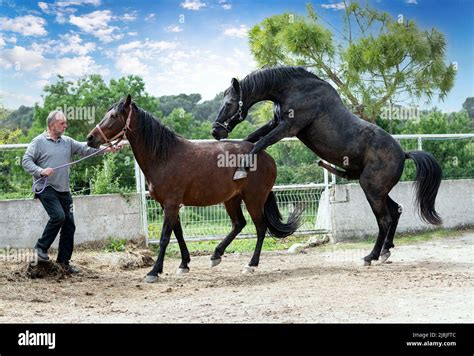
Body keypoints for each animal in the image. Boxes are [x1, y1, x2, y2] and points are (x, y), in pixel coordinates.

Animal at [86, 95, 300, 284]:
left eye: (114, 116)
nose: (90, 138)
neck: (164, 157)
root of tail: (265, 155)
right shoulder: (168, 205)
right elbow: (178, 233)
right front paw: (183, 264)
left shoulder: (171, 204)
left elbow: (165, 237)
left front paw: (154, 271)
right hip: (232, 199)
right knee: (239, 224)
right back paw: (216, 255)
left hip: (254, 199)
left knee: (260, 228)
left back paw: (251, 265)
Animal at [213, 67, 442, 268]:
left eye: (229, 103)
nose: (216, 131)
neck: (295, 90)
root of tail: (403, 154)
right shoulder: (274, 123)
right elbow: (252, 138)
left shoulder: (287, 128)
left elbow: (260, 143)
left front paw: (241, 168)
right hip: (378, 191)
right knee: (395, 212)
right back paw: (385, 251)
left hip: (372, 190)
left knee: (384, 220)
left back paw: (370, 256)